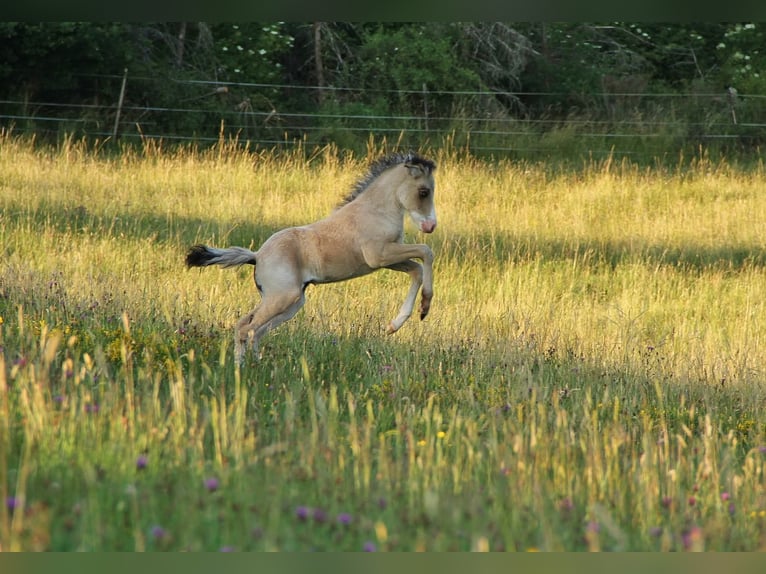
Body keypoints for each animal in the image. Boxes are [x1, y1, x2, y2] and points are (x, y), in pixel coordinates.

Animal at [185, 152, 438, 364]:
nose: (431, 226)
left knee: (256, 331)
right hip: (282, 298)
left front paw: (398, 323)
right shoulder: (379, 255)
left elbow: (416, 269)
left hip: (291, 304)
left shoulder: (388, 260)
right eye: (424, 191)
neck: (376, 210)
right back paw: (241, 370)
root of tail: (257, 255)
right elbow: (426, 251)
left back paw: (259, 366)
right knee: (244, 326)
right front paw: (424, 306)